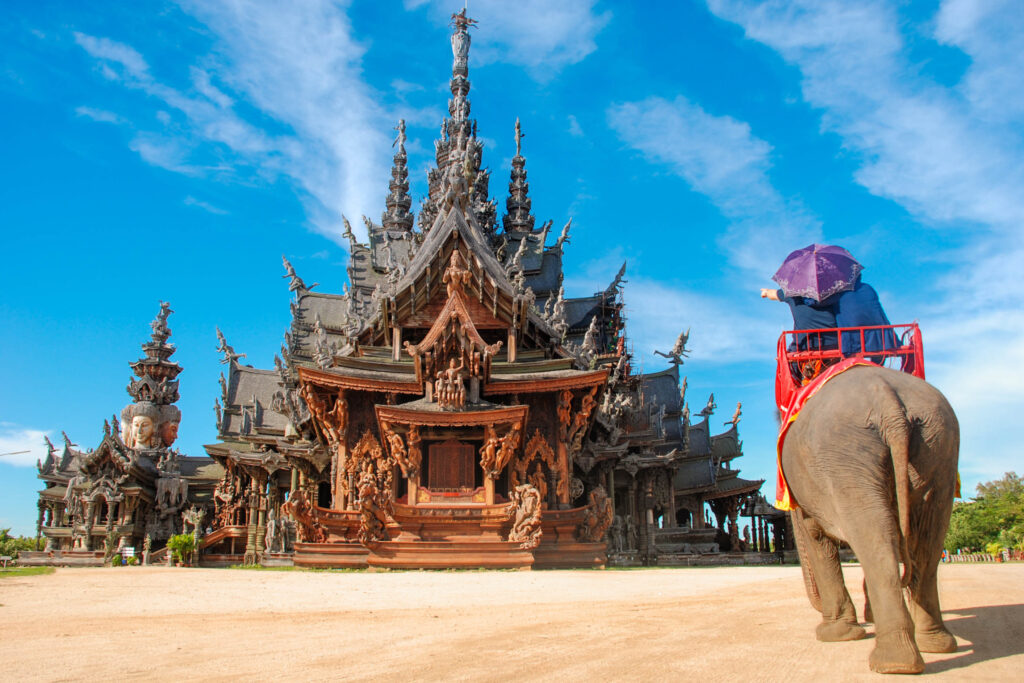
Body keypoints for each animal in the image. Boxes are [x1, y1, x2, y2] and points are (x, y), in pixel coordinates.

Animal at [782, 366, 958, 675]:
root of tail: (888, 403)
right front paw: (864, 619)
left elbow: (817, 539)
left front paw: (835, 633)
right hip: (938, 444)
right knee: (926, 541)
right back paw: (929, 646)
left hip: (843, 455)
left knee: (879, 539)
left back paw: (893, 660)